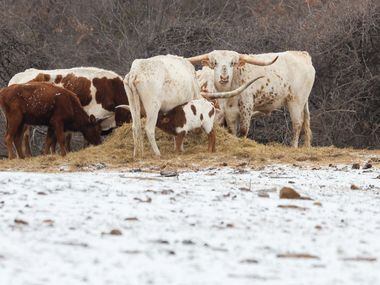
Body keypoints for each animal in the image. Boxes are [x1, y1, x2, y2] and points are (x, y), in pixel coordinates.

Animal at [121, 53, 264, 155]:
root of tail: (135, 73)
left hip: (133, 104)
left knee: (135, 127)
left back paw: (137, 154)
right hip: (153, 107)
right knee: (149, 129)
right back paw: (157, 153)